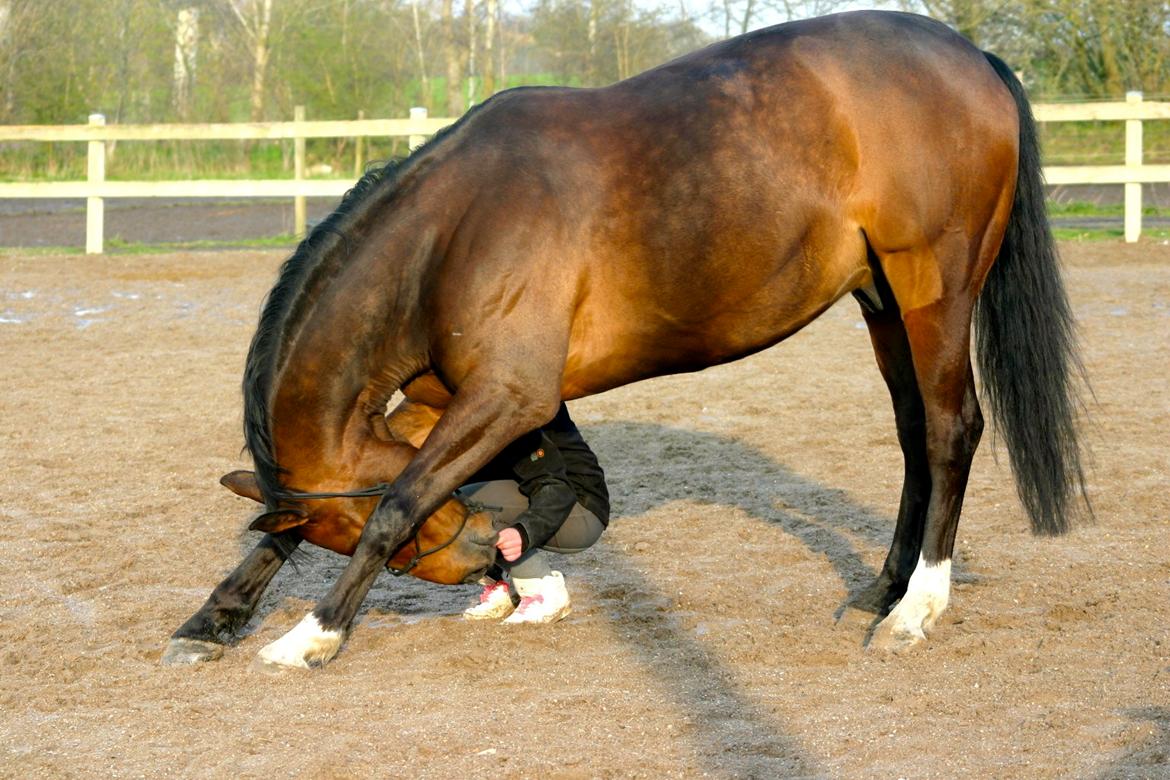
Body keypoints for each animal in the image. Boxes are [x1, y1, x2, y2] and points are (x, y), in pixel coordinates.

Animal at [162, 10, 1085, 673]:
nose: (482, 556)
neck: (452, 232)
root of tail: (972, 59)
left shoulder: (508, 398)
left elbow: (399, 499)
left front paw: (310, 634)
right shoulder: (438, 403)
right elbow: (294, 520)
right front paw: (213, 619)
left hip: (935, 291)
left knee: (951, 430)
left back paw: (916, 609)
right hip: (881, 300)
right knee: (913, 437)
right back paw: (883, 588)